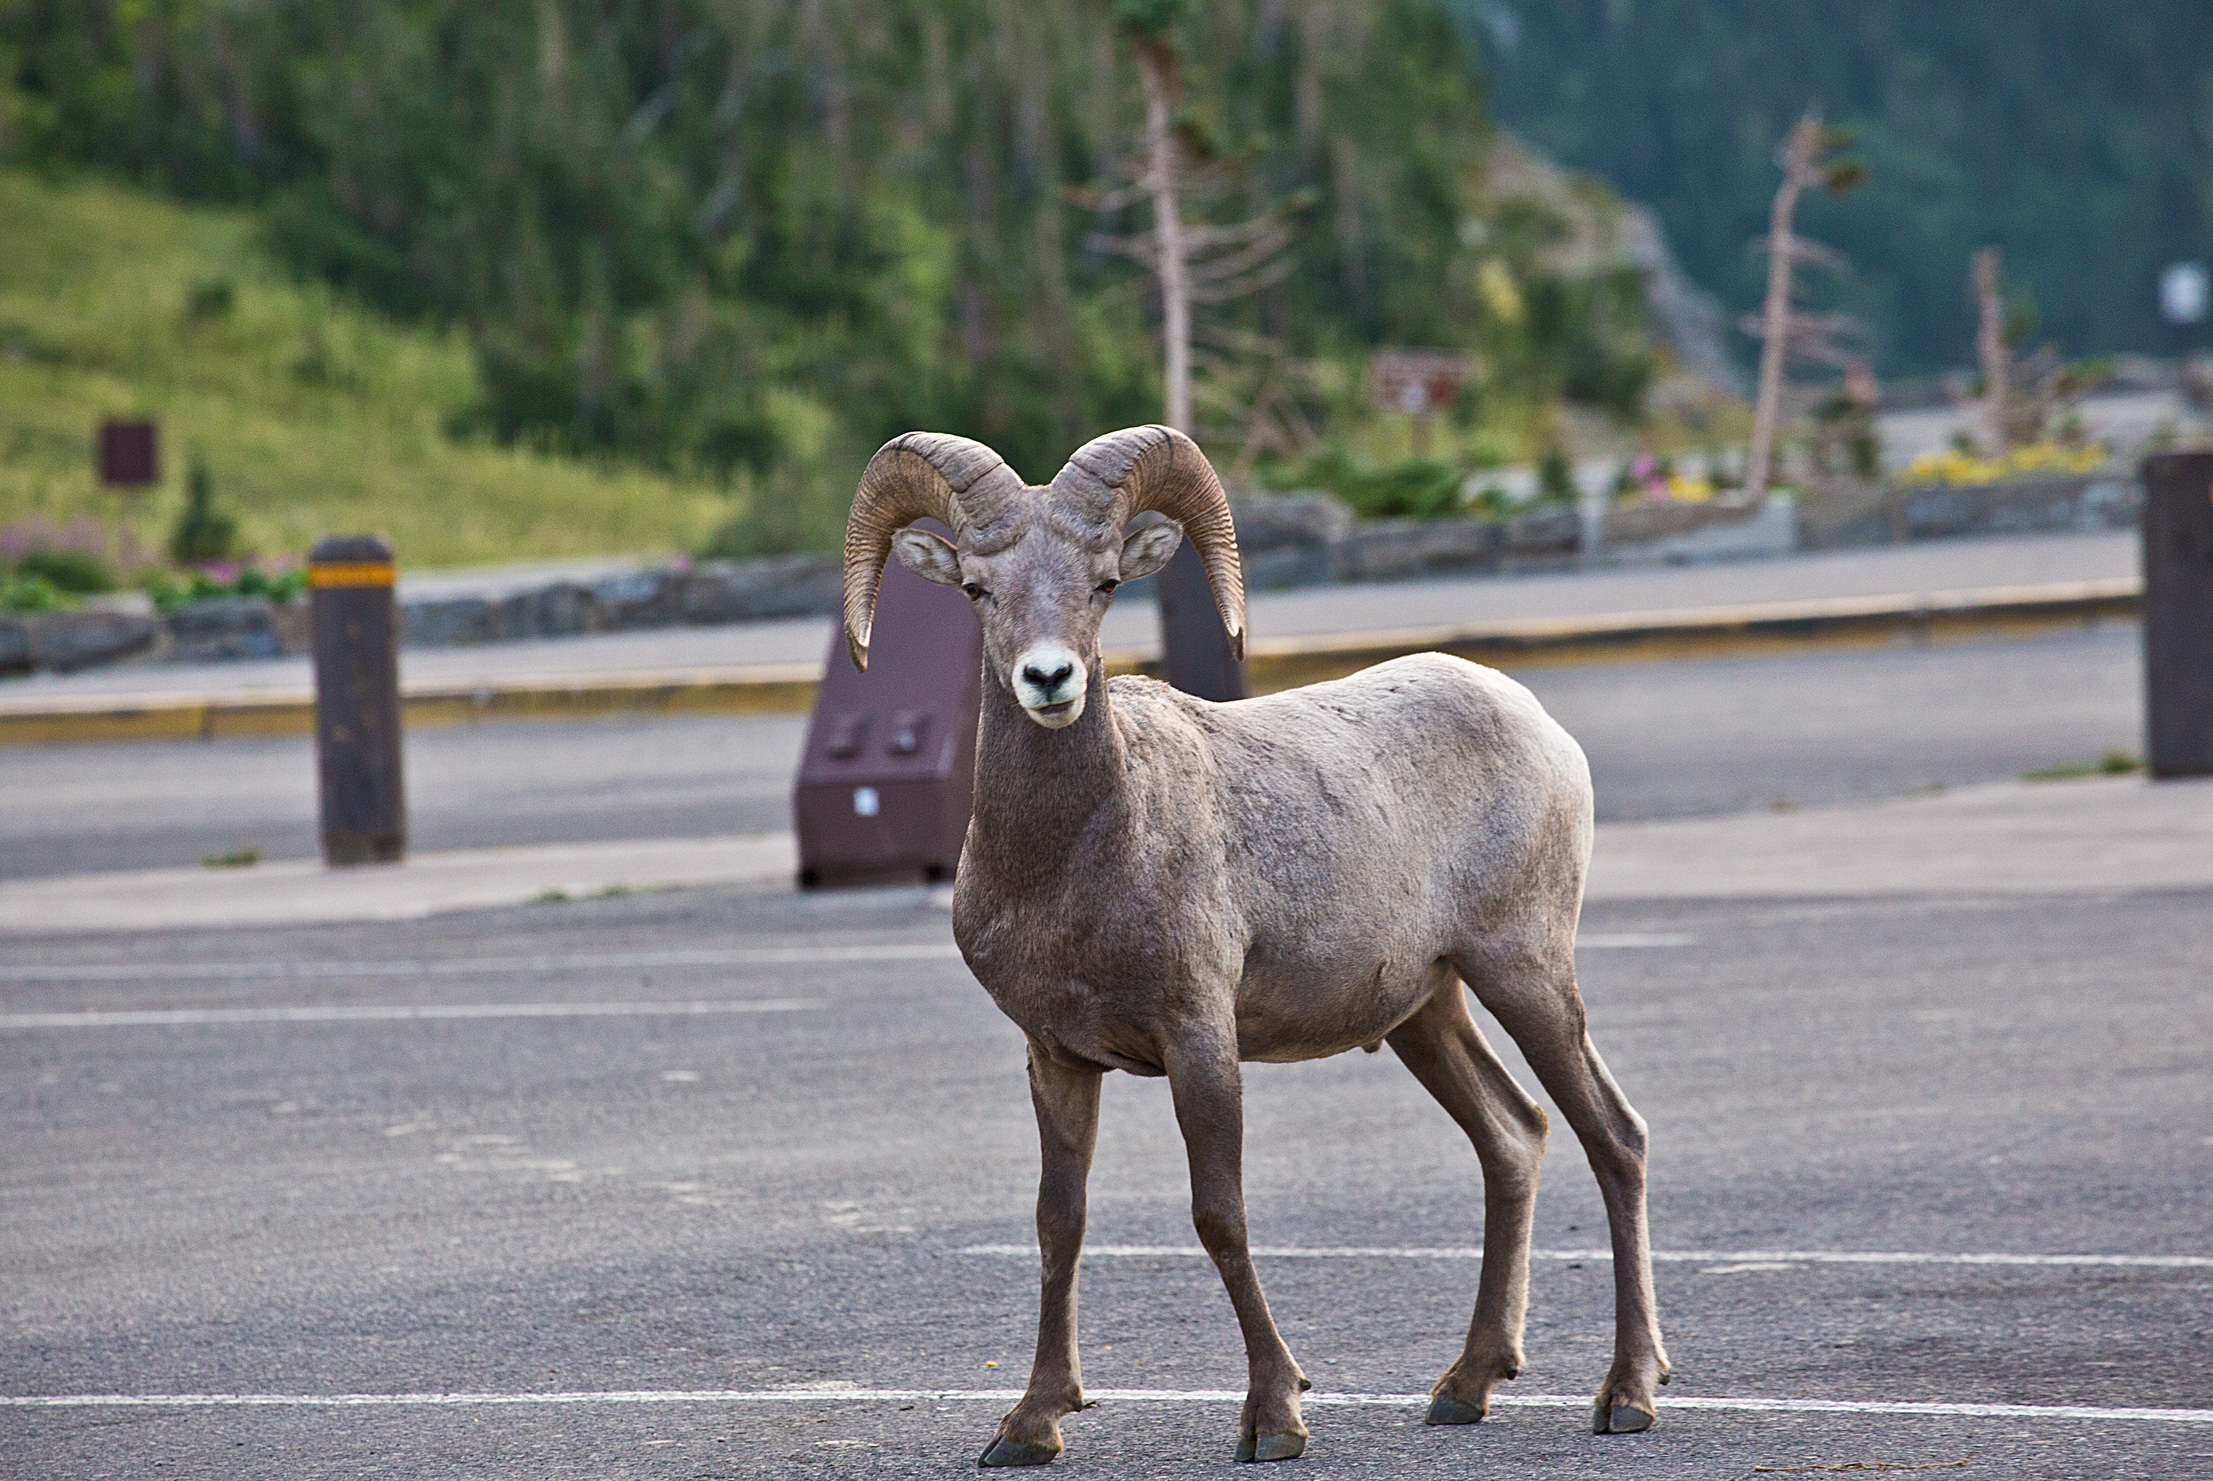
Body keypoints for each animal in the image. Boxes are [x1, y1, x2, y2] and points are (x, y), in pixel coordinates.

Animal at [841, 425, 1669, 1466]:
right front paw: (1030, 1424)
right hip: (1426, 1011)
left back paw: (1627, 1393)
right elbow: (1057, 1224)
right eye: (978, 591)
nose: (1048, 680)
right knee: (1511, 1136)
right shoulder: (1056, 1058)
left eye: (1103, 583)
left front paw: (1274, 1415)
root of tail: (1537, 723)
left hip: (1524, 973)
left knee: (1614, 1137)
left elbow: (1218, 1214)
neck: (1072, 865)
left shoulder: (1200, 1037)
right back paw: (1464, 1386)